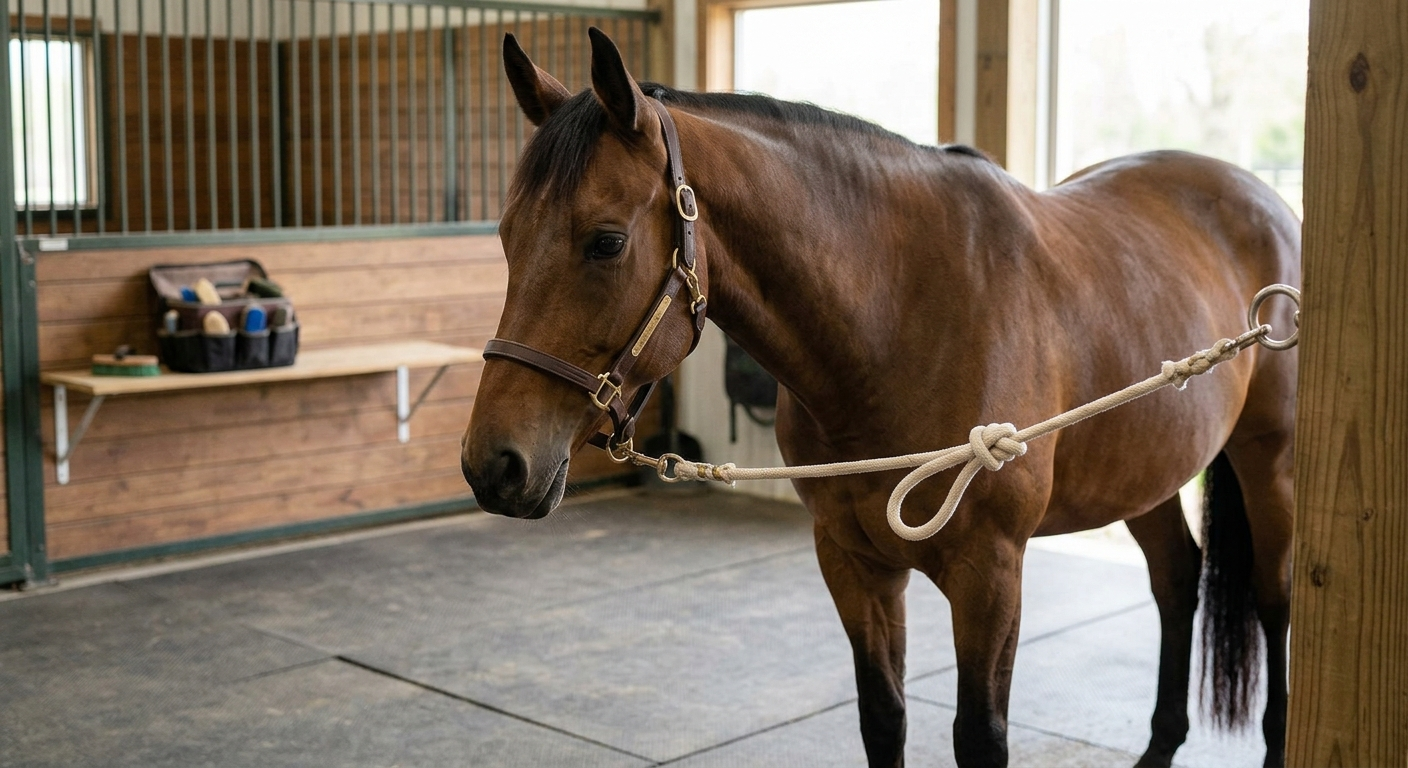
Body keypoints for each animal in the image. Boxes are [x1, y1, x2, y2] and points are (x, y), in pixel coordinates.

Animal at [460, 29, 1298, 768]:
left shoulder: (991, 571)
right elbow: (883, 717)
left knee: (1273, 597)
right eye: (504, 234)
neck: (900, 320)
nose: (492, 465)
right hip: (1142, 467)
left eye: (605, 241)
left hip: (1269, 461)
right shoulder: (852, 560)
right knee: (1177, 581)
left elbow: (980, 737)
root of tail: (1265, 199)